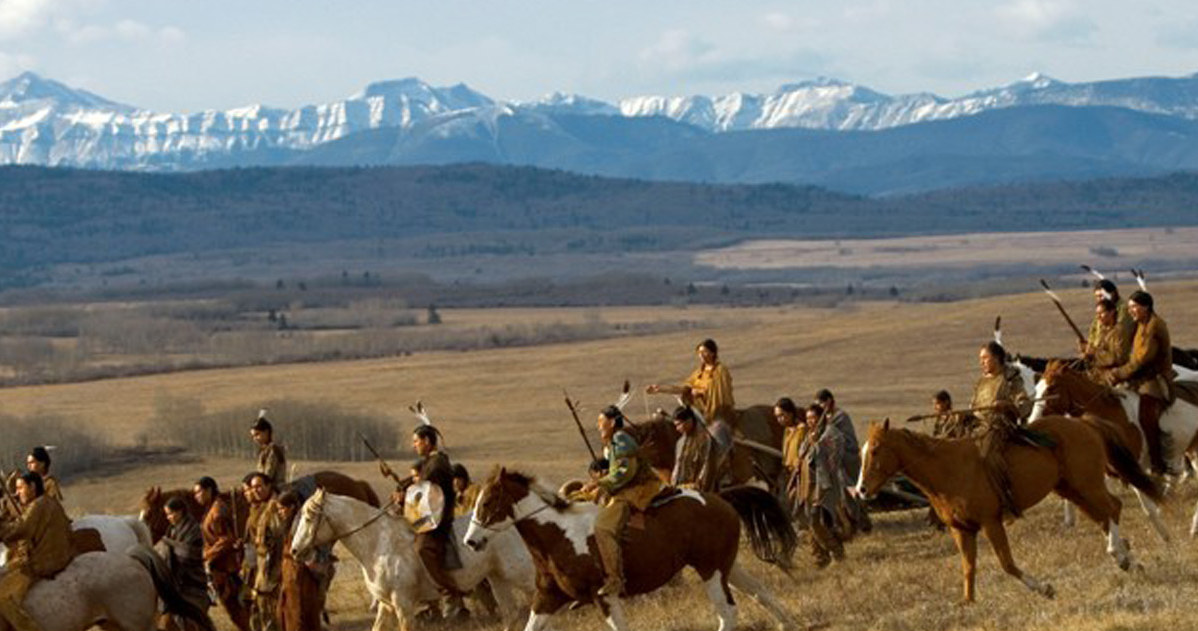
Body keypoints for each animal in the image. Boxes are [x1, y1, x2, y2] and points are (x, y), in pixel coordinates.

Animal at [289, 488, 534, 631]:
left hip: (522, 576)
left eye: (309, 517)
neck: (379, 543)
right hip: (498, 579)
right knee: (511, 615)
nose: (294, 551)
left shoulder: (403, 605)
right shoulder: (386, 606)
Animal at [462, 469, 800, 631]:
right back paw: (787, 623)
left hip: (711, 571)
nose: (471, 541)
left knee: (728, 612)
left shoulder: (604, 597)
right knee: (760, 592)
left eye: (488, 502)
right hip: (724, 567)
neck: (558, 536)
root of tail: (720, 498)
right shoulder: (547, 598)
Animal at [857, 416, 1154, 605]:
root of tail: (1083, 423)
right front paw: (968, 602)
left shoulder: (991, 523)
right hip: (1072, 489)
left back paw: (1120, 555)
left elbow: (1007, 563)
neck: (948, 468)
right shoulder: (961, 530)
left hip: (1087, 483)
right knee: (1105, 514)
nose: (861, 490)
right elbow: (968, 567)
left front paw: (1045, 588)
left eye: (876, 450)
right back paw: (1129, 560)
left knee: (1112, 507)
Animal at [1030, 361, 1198, 538]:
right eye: (1038, 387)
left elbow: (1147, 508)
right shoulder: (1109, 471)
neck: (1109, 413)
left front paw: (1165, 536)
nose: (1033, 421)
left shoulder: (1133, 469)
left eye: (1052, 388)